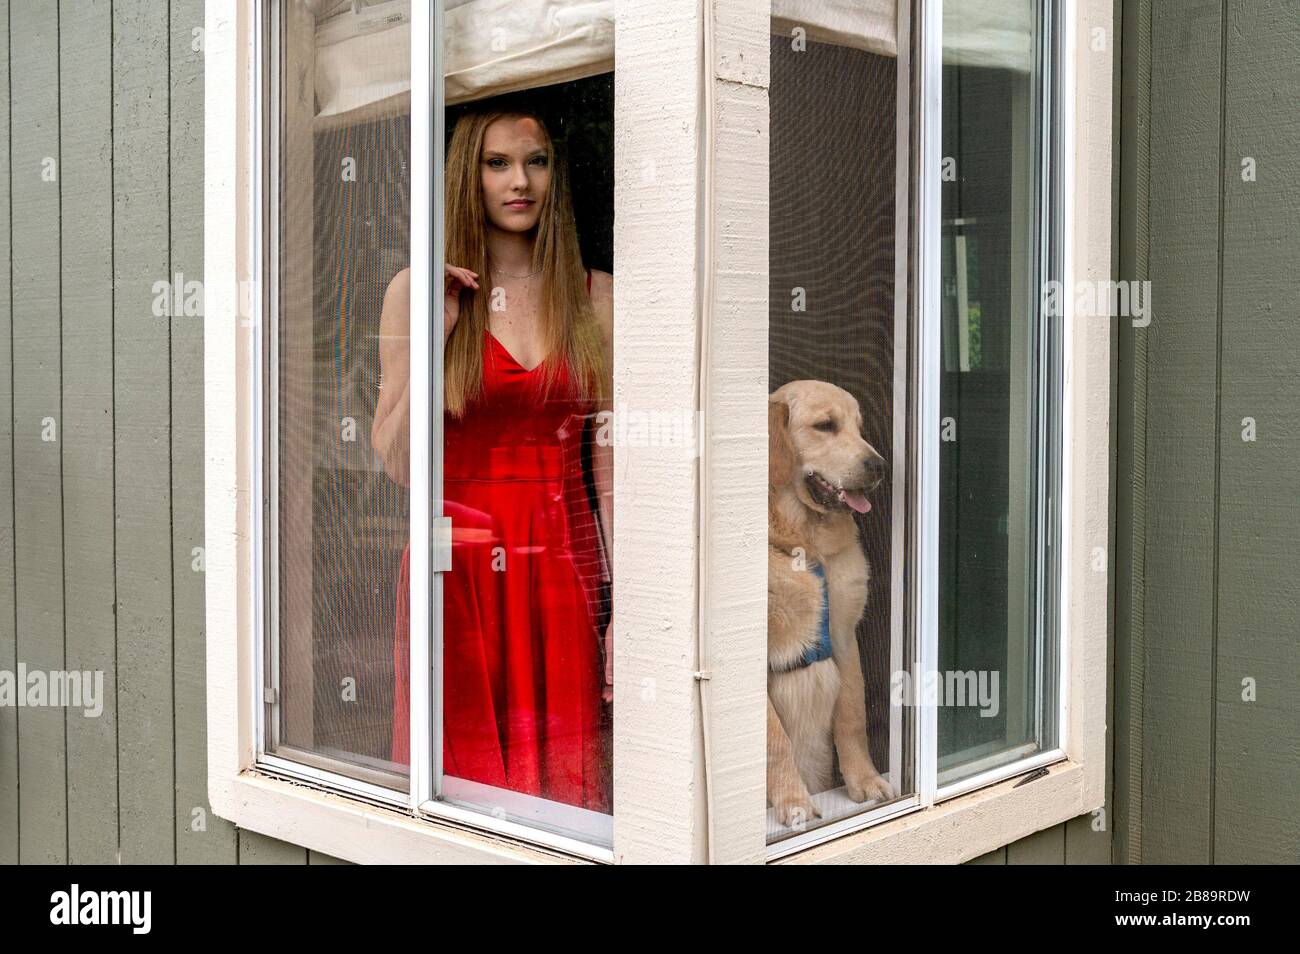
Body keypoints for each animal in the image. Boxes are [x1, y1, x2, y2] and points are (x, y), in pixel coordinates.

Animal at [769, 382, 894, 831]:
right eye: (826, 426)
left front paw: (865, 780)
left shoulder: (842, 631)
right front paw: (792, 800)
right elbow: (774, 739)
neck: (805, 543)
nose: (879, 466)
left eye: (859, 427)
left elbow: (852, 714)